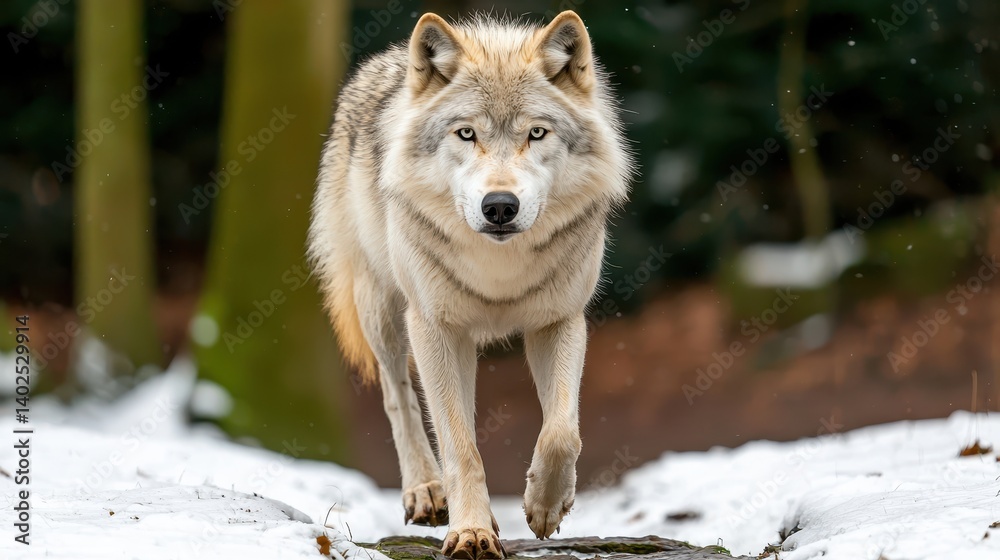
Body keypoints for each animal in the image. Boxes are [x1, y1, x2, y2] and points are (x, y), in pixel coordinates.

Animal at [308, 10, 632, 559]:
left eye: (537, 133)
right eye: (466, 134)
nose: (499, 206)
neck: (497, 266)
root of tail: (383, 63)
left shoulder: (559, 321)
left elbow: (561, 431)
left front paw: (545, 505)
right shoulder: (437, 329)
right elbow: (460, 447)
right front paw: (472, 533)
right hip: (385, 313)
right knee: (398, 397)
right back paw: (426, 491)